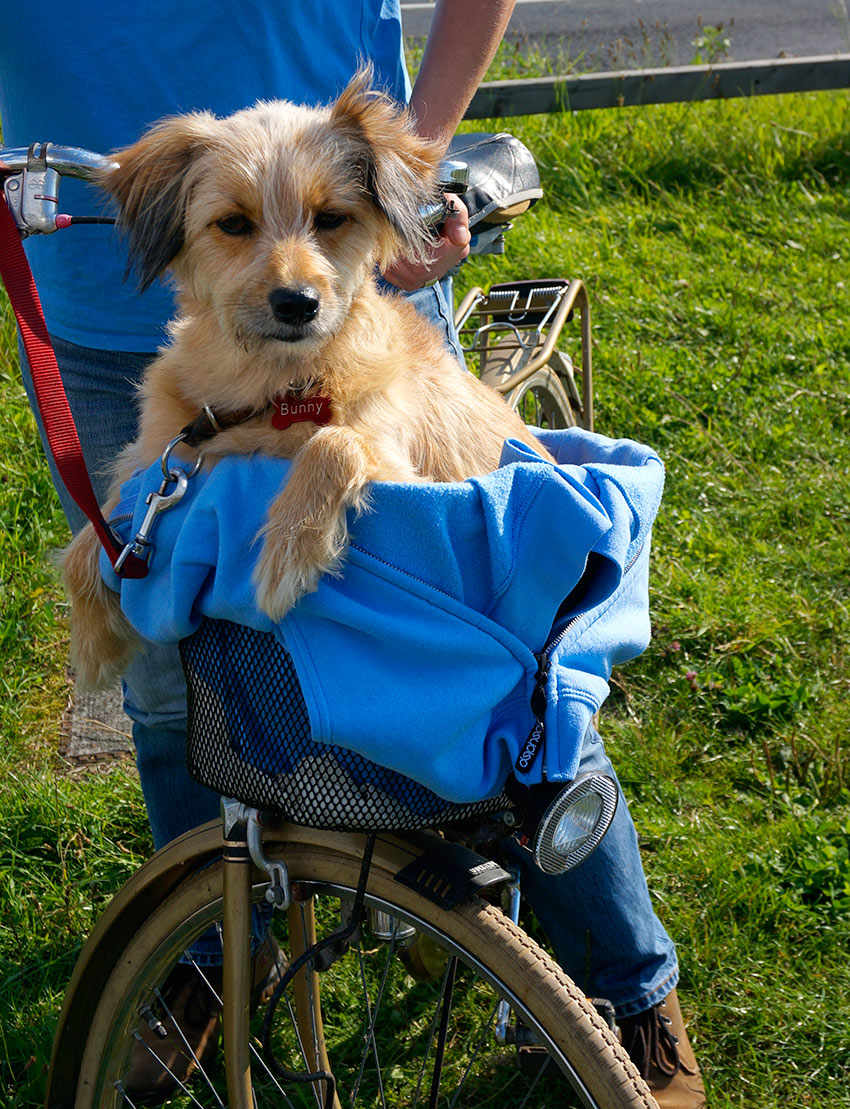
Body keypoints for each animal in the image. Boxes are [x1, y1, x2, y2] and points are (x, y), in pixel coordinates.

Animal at [61, 64, 552, 687]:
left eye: (331, 218)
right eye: (233, 223)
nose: (297, 303)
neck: (272, 388)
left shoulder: (412, 480)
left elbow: (334, 442)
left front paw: (288, 553)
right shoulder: (158, 459)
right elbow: (95, 531)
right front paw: (94, 642)